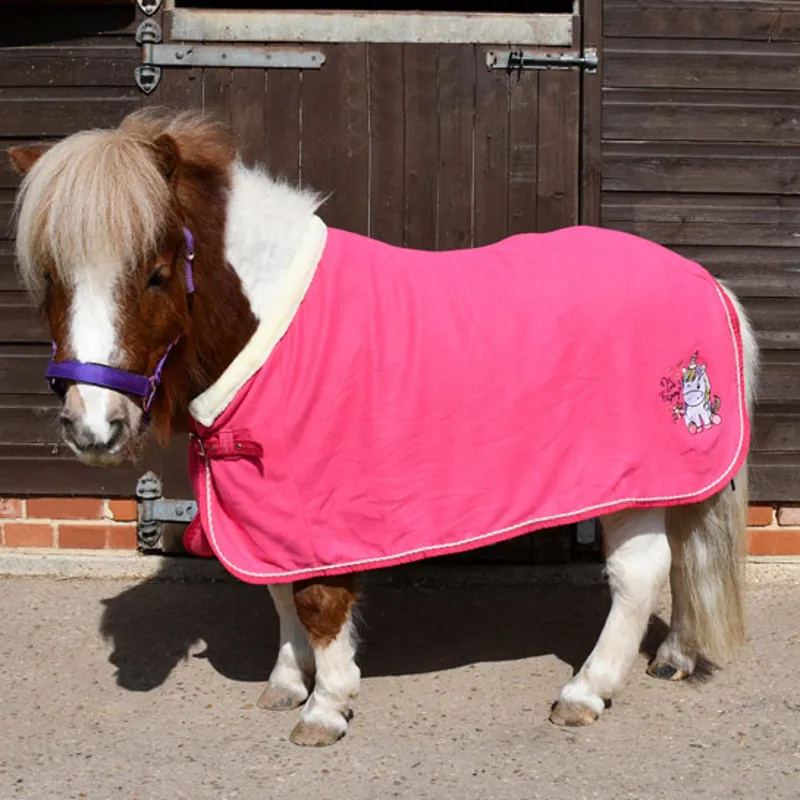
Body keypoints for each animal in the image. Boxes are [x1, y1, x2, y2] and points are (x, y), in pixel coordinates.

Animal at [9, 109, 758, 747]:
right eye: (49, 274)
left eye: (158, 273)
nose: (93, 427)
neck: (274, 324)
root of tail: (704, 280)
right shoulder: (268, 506)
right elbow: (278, 589)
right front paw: (287, 683)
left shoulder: (318, 504)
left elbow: (317, 598)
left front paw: (326, 705)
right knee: (683, 555)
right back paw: (673, 655)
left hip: (632, 479)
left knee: (638, 572)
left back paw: (585, 691)